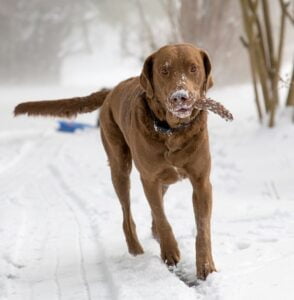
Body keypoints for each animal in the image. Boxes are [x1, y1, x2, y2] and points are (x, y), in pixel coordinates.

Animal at [15, 43, 218, 280]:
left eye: (193, 68)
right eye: (164, 71)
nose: (180, 97)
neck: (171, 130)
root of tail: (112, 90)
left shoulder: (201, 181)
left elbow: (202, 227)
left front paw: (205, 266)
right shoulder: (149, 179)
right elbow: (161, 216)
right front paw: (170, 251)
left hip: (164, 177)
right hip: (120, 167)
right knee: (127, 215)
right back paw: (136, 250)